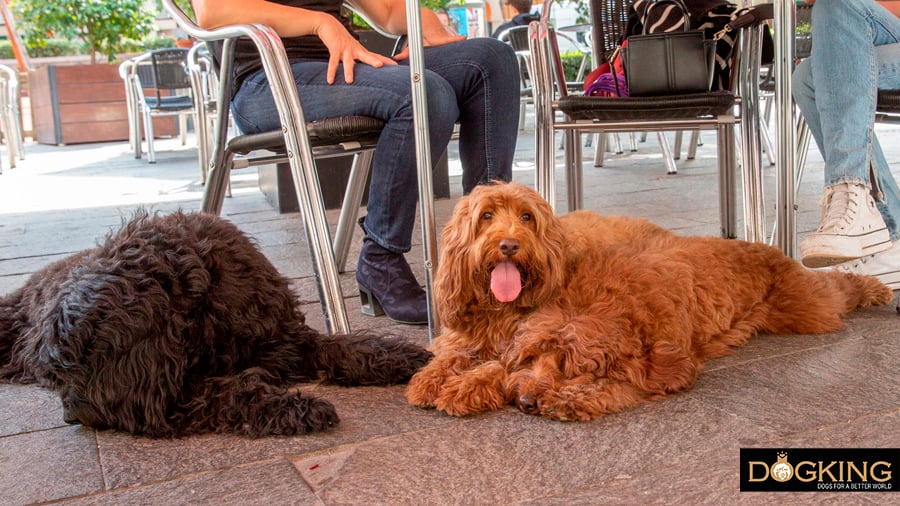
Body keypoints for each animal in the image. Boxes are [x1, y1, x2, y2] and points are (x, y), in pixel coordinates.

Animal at [0, 211, 432, 436]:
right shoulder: (166, 400)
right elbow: (228, 392)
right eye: (59, 373)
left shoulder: (283, 338)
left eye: (83, 361)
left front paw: (403, 356)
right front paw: (292, 406)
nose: (70, 414)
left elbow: (346, 347)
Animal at [406, 182, 892, 420]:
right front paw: (436, 379)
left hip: (807, 308)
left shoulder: (665, 362)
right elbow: (457, 355)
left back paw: (875, 287)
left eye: (526, 217)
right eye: (486, 215)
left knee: (836, 290)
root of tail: (762, 247)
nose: (508, 244)